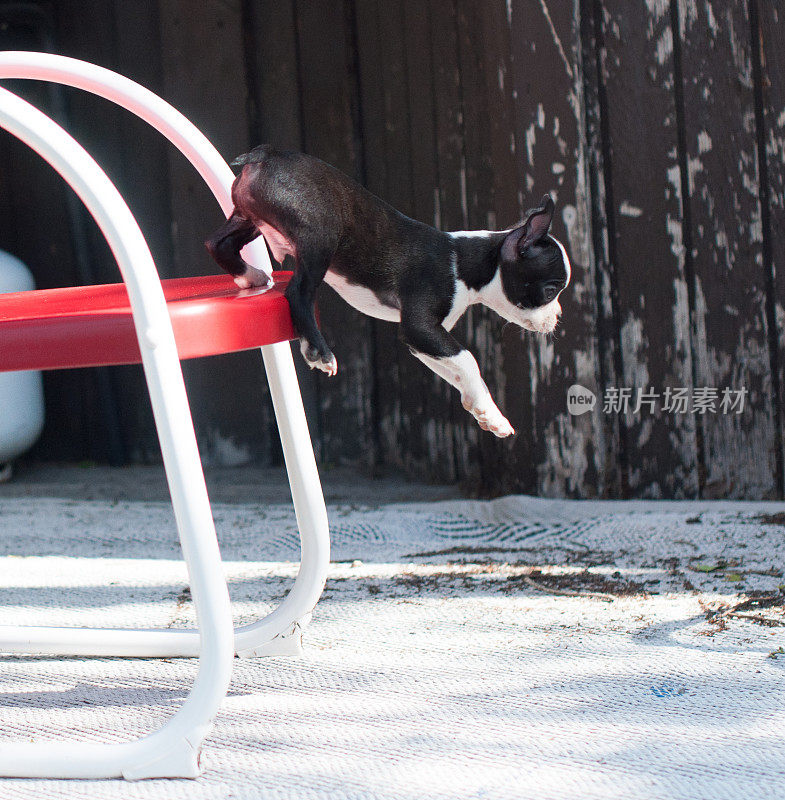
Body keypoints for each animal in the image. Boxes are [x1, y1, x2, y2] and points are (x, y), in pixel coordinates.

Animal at [202, 147, 568, 440]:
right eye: (550, 290)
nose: (559, 316)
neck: (465, 261)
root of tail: (264, 155)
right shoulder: (420, 326)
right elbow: (468, 359)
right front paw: (487, 409)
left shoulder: (424, 340)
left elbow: (457, 371)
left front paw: (486, 411)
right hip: (320, 235)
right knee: (298, 293)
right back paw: (318, 350)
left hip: (248, 216)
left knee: (218, 243)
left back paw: (249, 275)